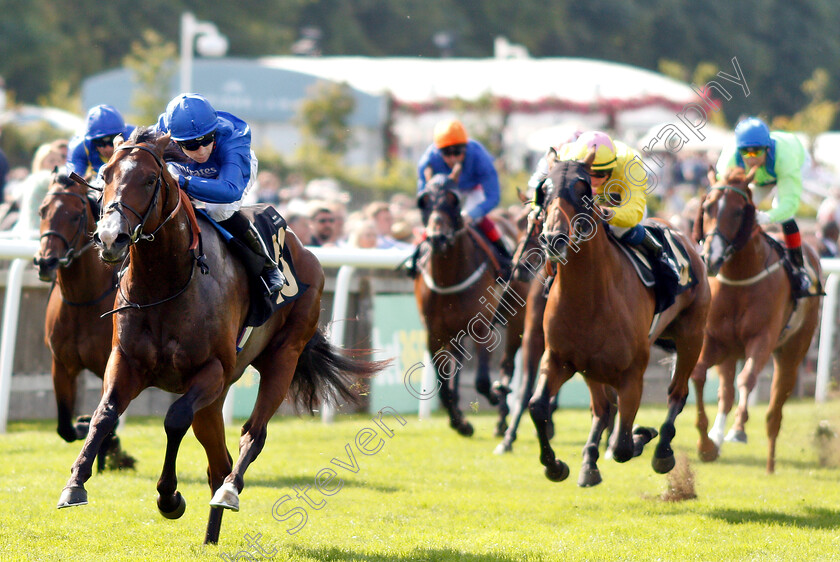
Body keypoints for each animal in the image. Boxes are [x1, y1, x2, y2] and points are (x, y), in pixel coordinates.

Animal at [32, 171, 133, 468]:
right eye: (42, 210)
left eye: (76, 215)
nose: (46, 262)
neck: (82, 299)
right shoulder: (61, 365)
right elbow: (64, 426)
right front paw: (81, 424)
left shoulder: (108, 365)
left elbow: (108, 418)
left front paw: (108, 447)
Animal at [57, 130, 386, 544]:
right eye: (105, 173)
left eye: (150, 179)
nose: (110, 238)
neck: (165, 283)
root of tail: (305, 249)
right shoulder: (125, 361)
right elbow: (103, 415)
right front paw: (74, 484)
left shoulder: (211, 369)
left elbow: (175, 419)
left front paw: (170, 497)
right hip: (216, 398)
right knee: (219, 459)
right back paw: (211, 532)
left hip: (282, 357)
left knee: (251, 436)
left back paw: (230, 490)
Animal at [414, 164, 524, 436]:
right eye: (423, 201)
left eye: (453, 200)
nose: (437, 238)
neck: (448, 280)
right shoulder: (434, 334)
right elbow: (443, 386)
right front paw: (460, 423)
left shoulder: (482, 326)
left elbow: (483, 381)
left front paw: (495, 395)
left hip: (517, 318)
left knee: (507, 365)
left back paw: (502, 414)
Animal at [532, 154, 708, 486]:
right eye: (544, 190)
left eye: (582, 190)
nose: (553, 239)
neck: (588, 298)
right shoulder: (559, 359)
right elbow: (537, 407)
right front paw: (555, 466)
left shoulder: (632, 374)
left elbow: (623, 445)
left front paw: (643, 434)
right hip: (592, 368)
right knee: (602, 409)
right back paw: (589, 462)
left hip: (691, 337)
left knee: (676, 394)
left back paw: (662, 450)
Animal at [688, 164, 820, 470]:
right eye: (708, 207)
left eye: (739, 211)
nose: (711, 258)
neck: (739, 277)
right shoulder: (714, 341)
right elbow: (699, 375)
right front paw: (706, 444)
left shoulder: (762, 339)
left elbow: (747, 379)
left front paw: (738, 430)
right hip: (729, 353)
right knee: (726, 394)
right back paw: (717, 437)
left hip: (792, 351)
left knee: (776, 406)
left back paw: (770, 462)